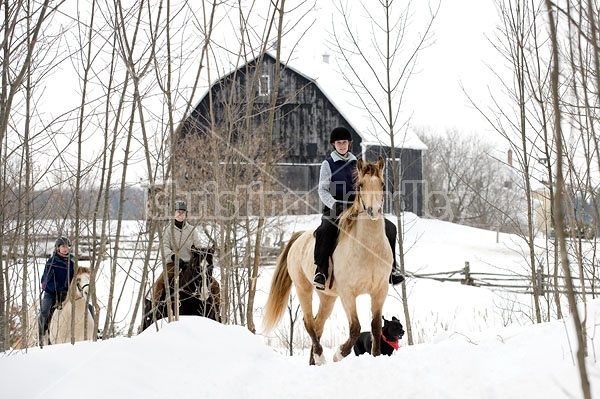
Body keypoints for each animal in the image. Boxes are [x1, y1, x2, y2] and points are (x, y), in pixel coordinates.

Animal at [262, 156, 390, 366]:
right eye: (361, 185)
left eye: (382, 184)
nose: (374, 211)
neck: (368, 249)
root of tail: (298, 238)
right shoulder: (348, 294)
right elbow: (355, 327)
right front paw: (339, 353)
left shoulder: (380, 291)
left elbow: (376, 326)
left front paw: (376, 356)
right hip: (303, 289)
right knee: (309, 322)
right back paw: (320, 356)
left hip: (327, 297)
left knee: (318, 324)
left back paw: (314, 361)